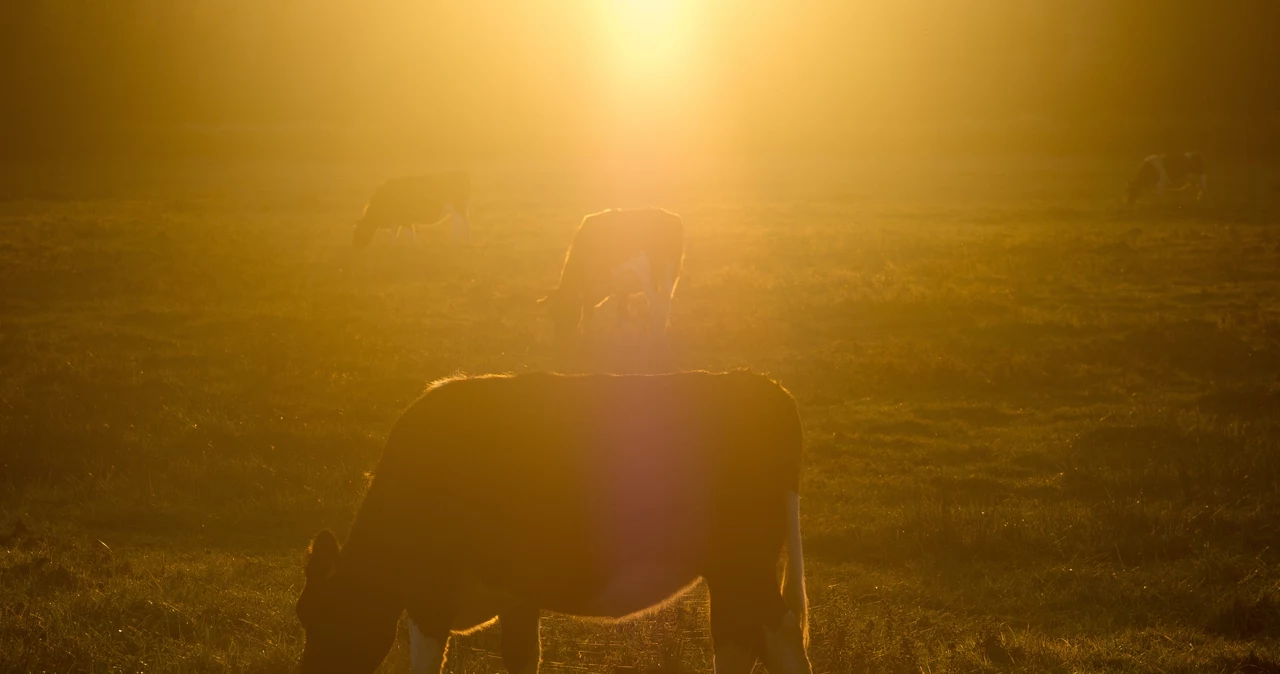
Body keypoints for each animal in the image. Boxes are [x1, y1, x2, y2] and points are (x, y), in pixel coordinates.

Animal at [296, 370, 808, 674]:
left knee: (771, 629)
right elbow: (522, 658)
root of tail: (766, 385)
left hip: (740, 563)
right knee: (747, 634)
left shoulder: (430, 595)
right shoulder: (517, 597)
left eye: (316, 614)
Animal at [537, 208, 686, 340]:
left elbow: (588, 314)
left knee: (655, 304)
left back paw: (656, 333)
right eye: (551, 313)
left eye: (565, 309)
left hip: (649, 278)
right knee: (666, 302)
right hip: (670, 275)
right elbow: (622, 312)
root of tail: (673, 218)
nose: (560, 340)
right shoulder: (621, 288)